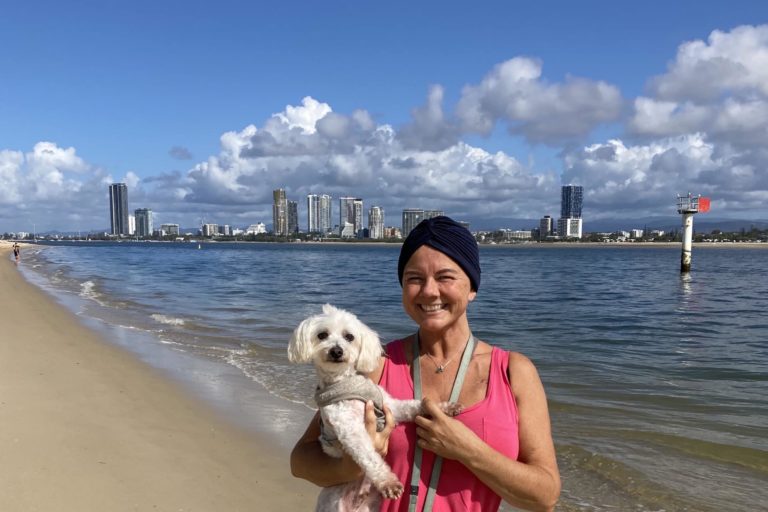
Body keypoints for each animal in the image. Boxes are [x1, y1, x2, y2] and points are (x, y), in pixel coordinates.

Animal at [288, 304, 463, 512]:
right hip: (334, 503)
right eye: (322, 335)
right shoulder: (349, 429)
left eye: (349, 337)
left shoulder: (388, 405)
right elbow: (369, 457)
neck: (345, 382)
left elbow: (411, 406)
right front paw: (389, 483)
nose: (336, 351)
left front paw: (445, 407)